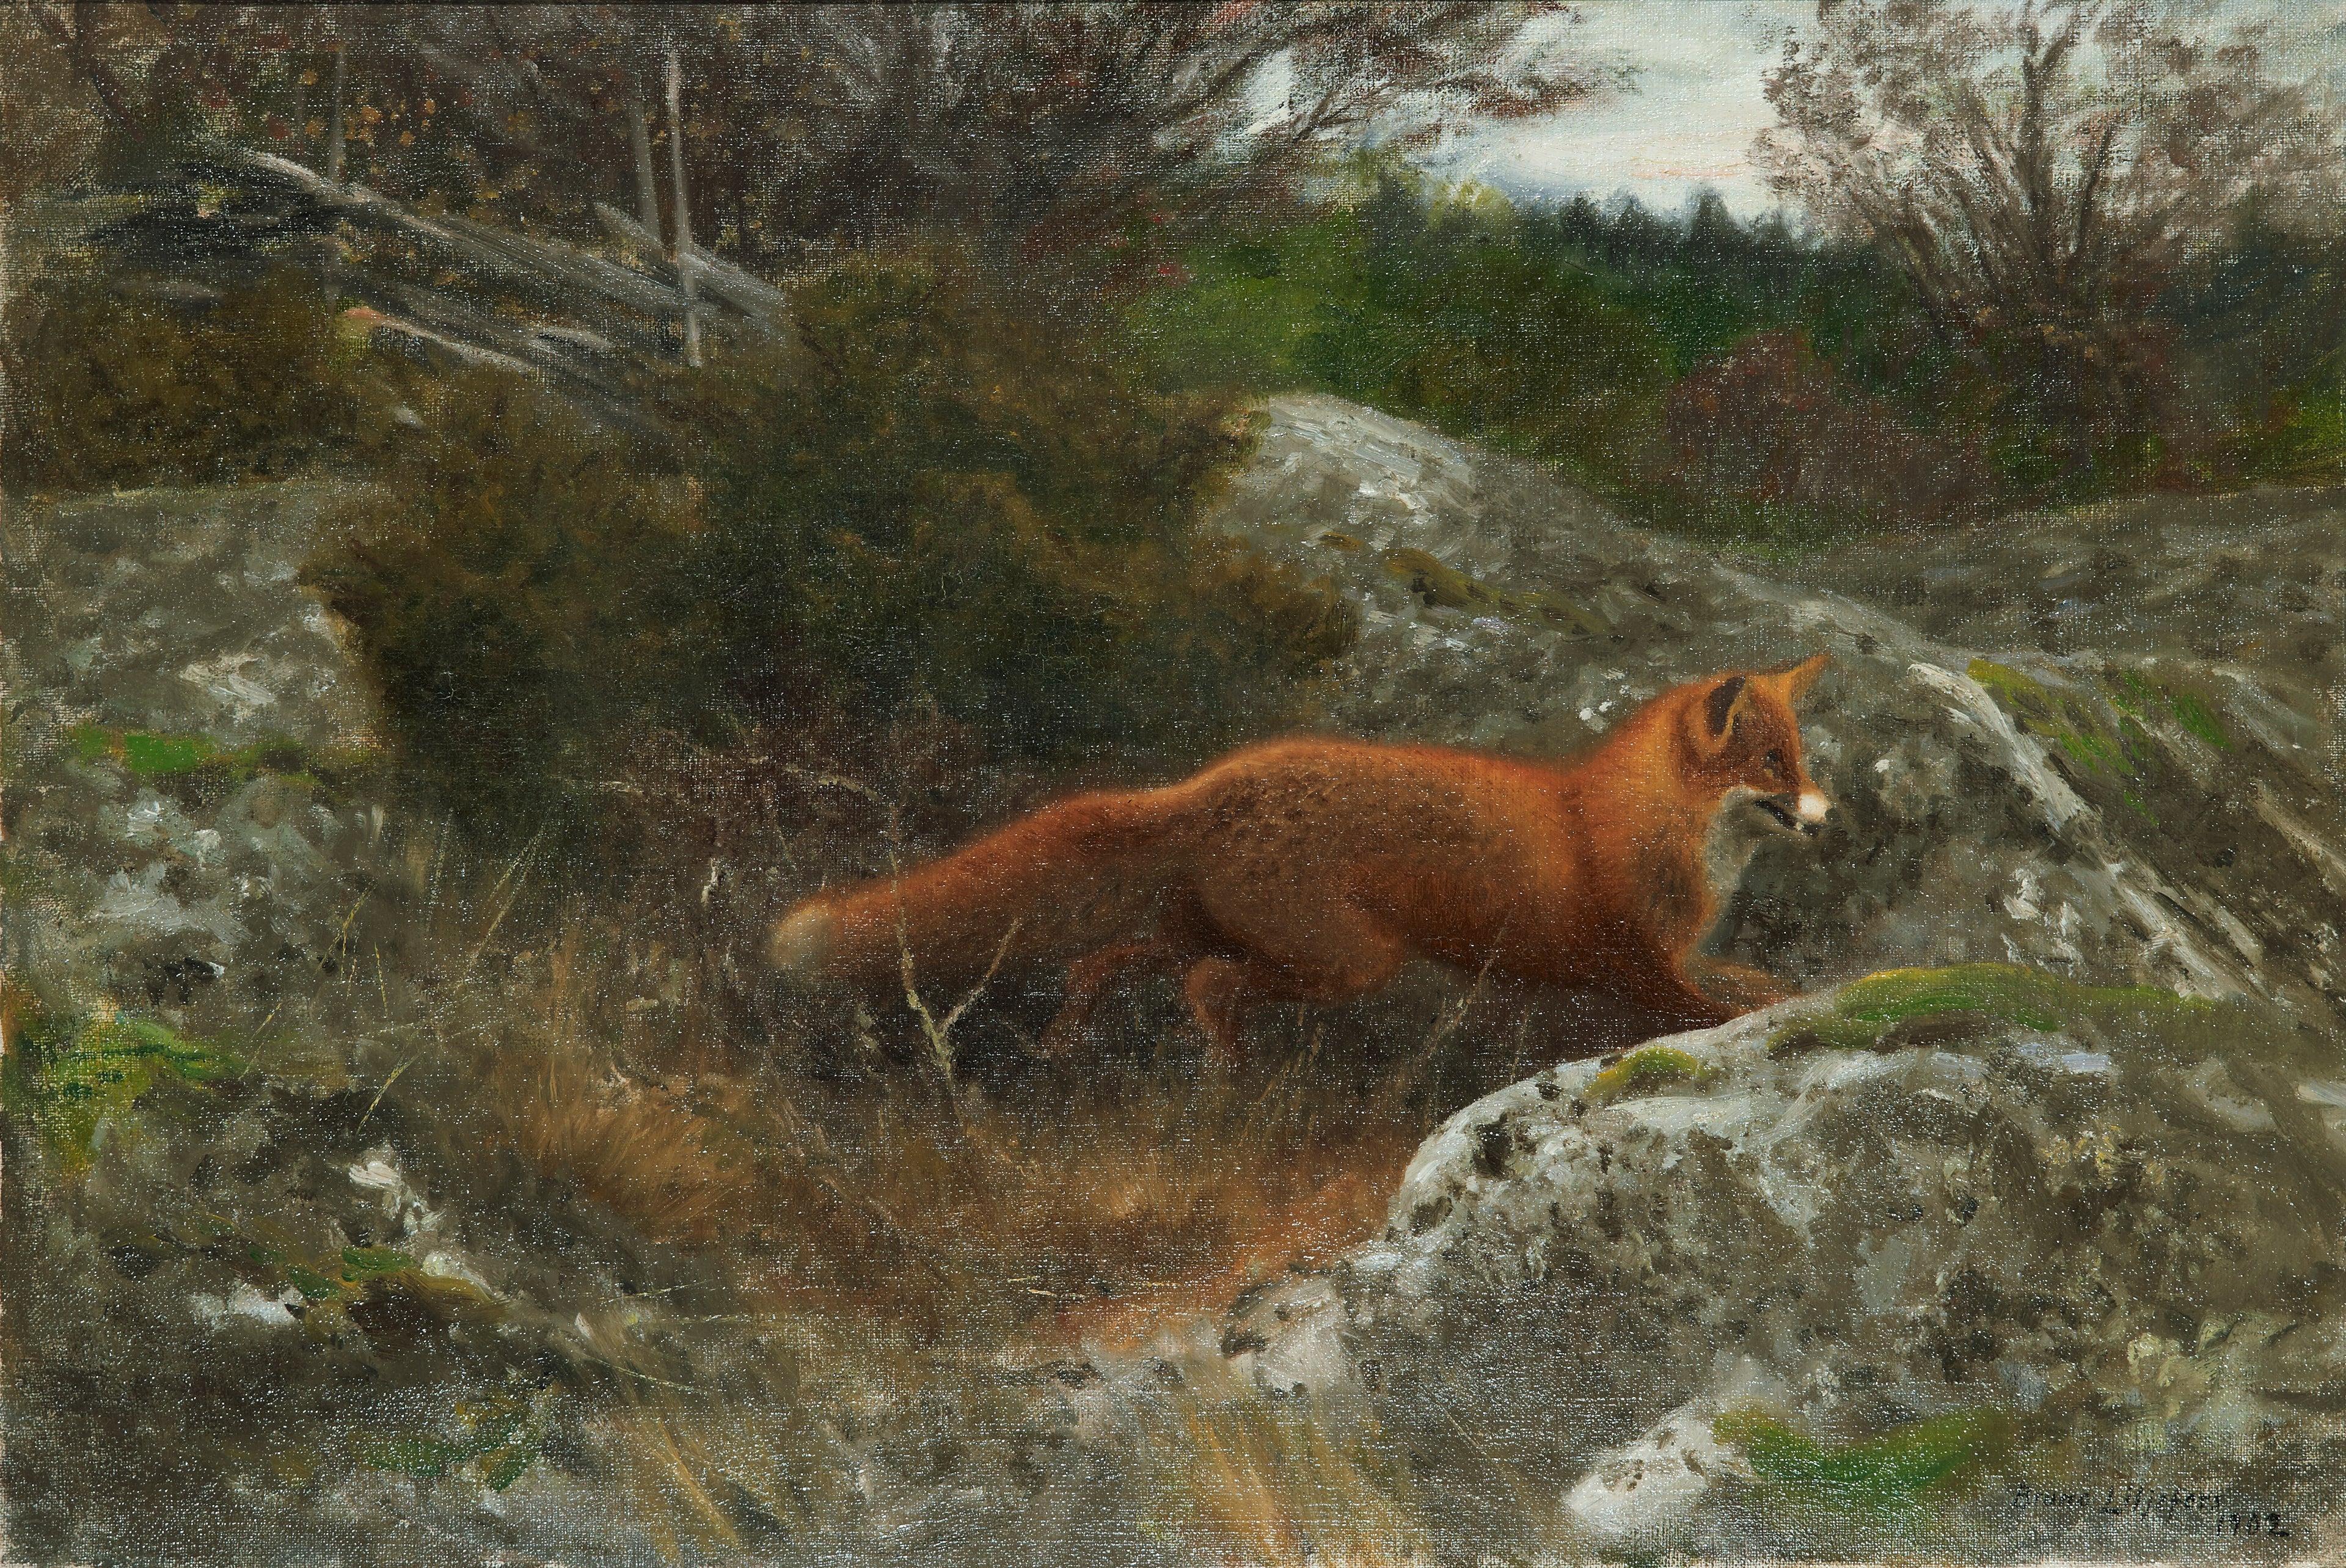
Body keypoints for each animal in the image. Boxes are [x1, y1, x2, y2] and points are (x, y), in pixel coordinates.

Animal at [772, 654, 1833, 1058]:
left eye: (1804, 759)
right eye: (1772, 765)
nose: (1828, 815)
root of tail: (1210, 782)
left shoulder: (1677, 961)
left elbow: (1770, 985)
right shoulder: (1643, 971)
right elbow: (1729, 1008)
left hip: (1223, 932)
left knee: (1110, 961)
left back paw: (1061, 1048)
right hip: (1352, 960)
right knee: (1203, 985)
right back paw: (1221, 1084)